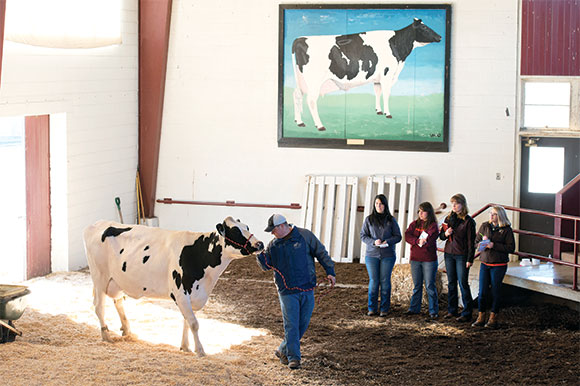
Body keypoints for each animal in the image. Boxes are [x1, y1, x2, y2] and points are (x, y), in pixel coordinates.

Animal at [82, 217, 264, 356]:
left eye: (247, 227)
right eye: (236, 232)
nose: (260, 244)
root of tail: (96, 224)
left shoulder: (191, 296)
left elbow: (186, 321)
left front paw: (185, 347)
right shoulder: (181, 293)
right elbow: (194, 323)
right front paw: (200, 351)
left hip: (117, 281)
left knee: (118, 301)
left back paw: (127, 330)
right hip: (99, 278)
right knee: (98, 306)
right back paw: (106, 335)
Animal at [292, 18, 442, 131]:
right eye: (424, 27)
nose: (440, 36)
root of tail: (299, 39)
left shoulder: (378, 78)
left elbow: (377, 92)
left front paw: (379, 111)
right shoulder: (387, 74)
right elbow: (386, 94)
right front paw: (388, 113)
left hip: (300, 79)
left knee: (297, 95)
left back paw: (299, 122)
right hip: (314, 81)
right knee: (311, 100)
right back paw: (320, 125)